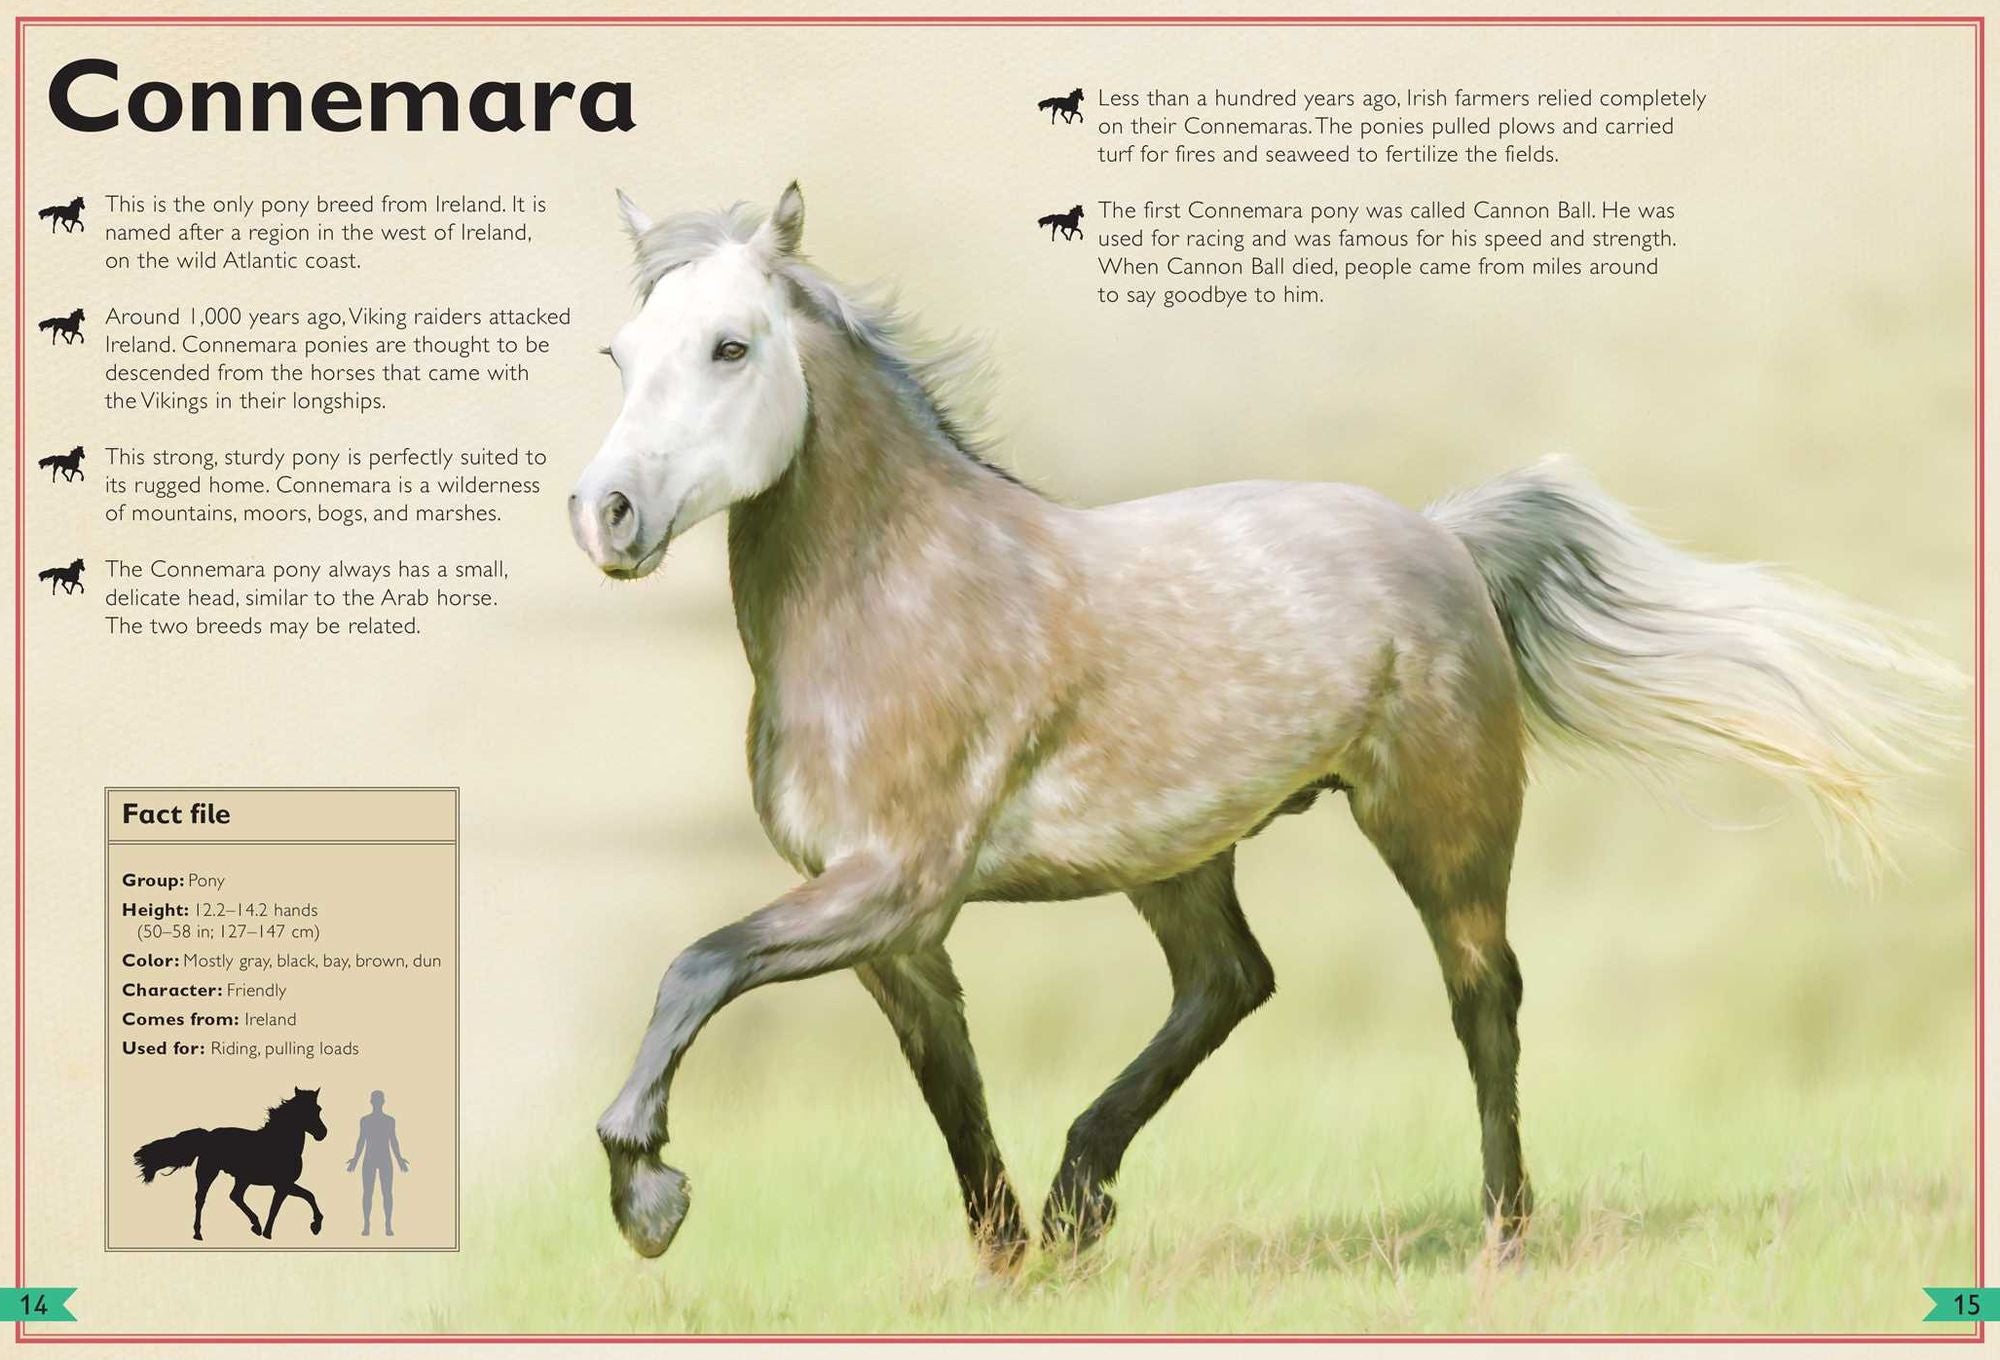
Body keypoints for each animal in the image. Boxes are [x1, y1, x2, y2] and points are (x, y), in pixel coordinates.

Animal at [134, 1087, 328, 1241]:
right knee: (201, 1198)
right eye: (305, 1111)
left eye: (318, 1109)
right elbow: (290, 1203)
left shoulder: (283, 1185)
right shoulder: (283, 1185)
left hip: (242, 1178)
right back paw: (198, 1234)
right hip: (208, 1172)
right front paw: (312, 1227)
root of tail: (208, 1136)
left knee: (235, 1196)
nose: (322, 1133)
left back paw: (255, 1226)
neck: (281, 1144)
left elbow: (304, 1197)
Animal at [569, 184, 1959, 1270]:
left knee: (1482, 997)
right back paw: (1081, 1201)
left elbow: (696, 965)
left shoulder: (893, 886)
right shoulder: (890, 929)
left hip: (1438, 825)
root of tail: (1442, 537)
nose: (608, 514)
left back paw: (1503, 1234)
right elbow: (947, 1088)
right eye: (620, 353)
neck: (896, 595)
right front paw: (1012, 1260)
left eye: (731, 346)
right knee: (1231, 981)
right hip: (1177, 856)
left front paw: (648, 1197)